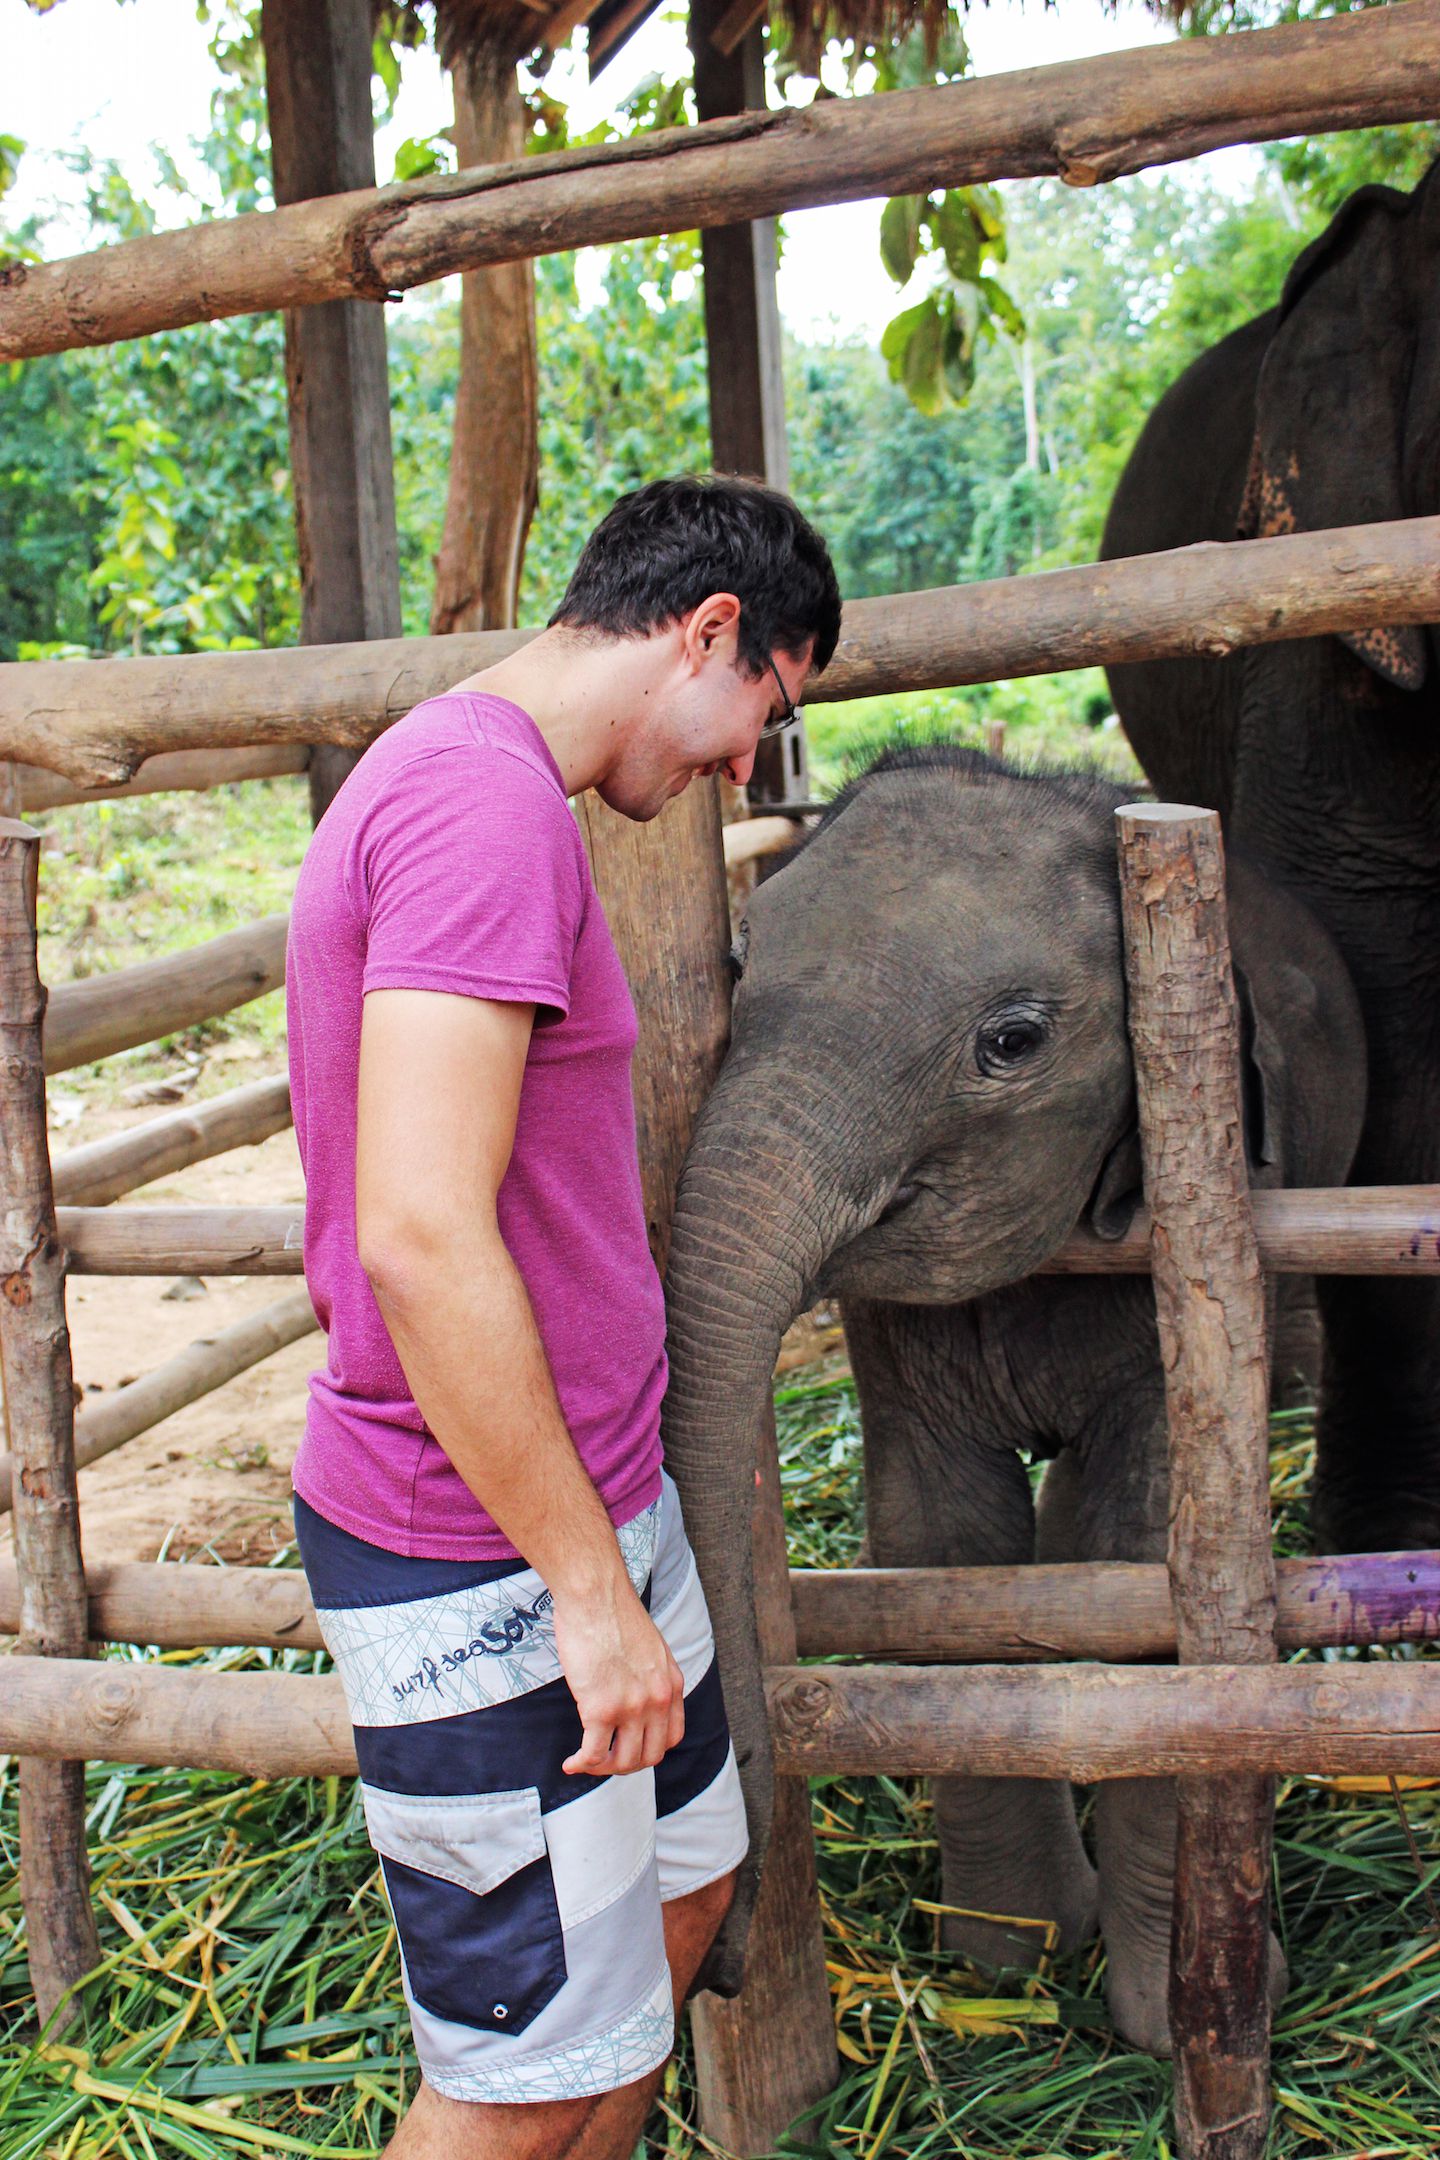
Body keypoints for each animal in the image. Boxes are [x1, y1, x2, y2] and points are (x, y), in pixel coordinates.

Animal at [661, 745, 1365, 2053]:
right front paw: (1005, 1959)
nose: (717, 1972)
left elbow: (1143, 1553)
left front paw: (1169, 2015)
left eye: (1013, 1040)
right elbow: (942, 1539)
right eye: (736, 963)